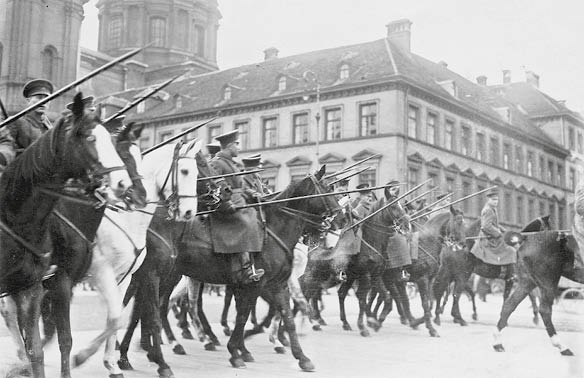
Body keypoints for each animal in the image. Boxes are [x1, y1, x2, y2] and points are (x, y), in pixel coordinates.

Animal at [0, 94, 133, 378]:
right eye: (89, 137)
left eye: (111, 141)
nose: (123, 184)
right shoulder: (61, 281)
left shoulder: (30, 288)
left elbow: (40, 349)